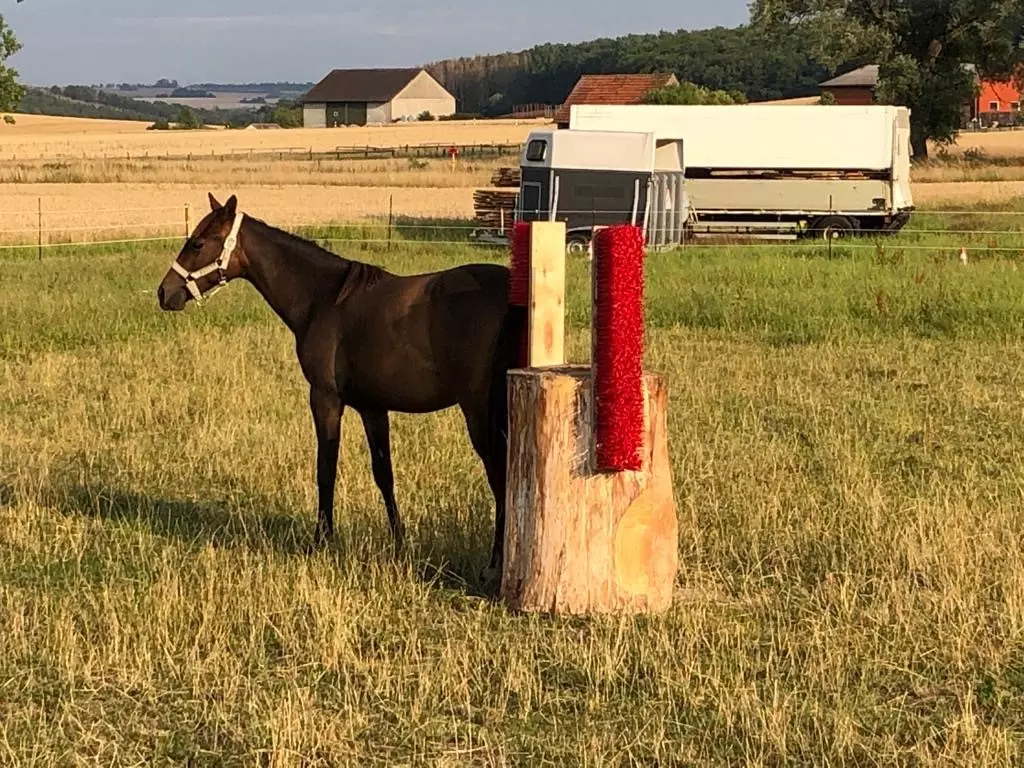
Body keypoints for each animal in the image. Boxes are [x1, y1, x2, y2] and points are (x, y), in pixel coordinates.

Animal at [156, 193, 524, 586]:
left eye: (197, 243)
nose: (164, 292)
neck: (325, 299)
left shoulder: (325, 399)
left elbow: (325, 467)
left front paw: (321, 540)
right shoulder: (372, 407)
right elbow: (384, 474)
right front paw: (399, 544)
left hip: (480, 412)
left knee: (500, 475)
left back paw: (493, 566)